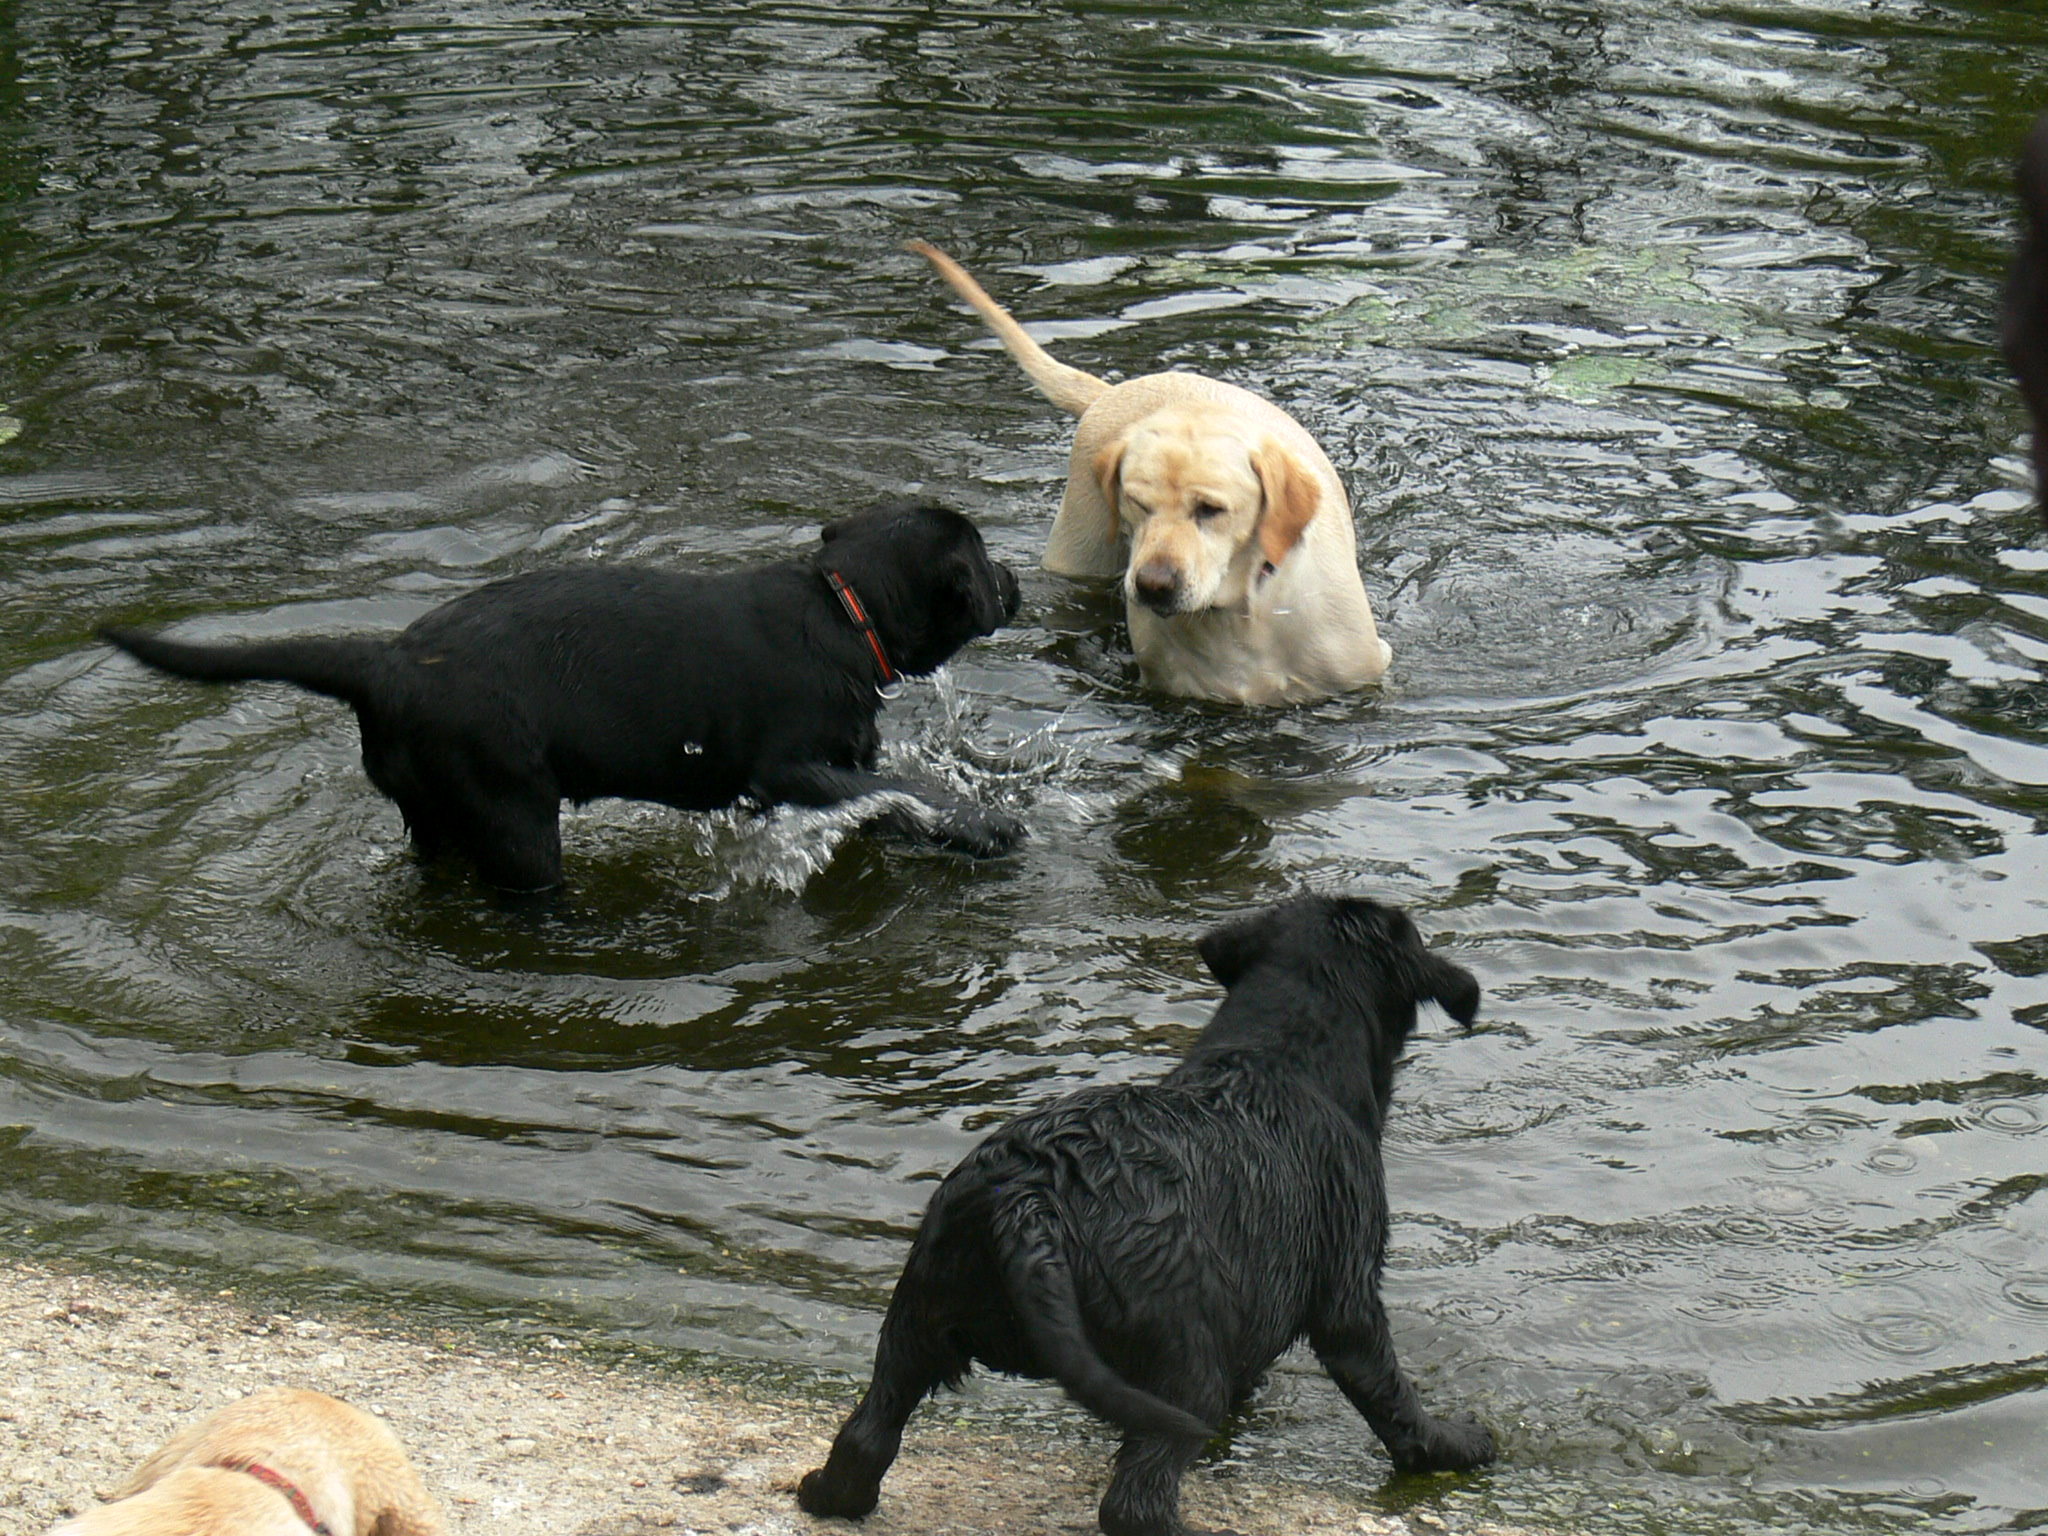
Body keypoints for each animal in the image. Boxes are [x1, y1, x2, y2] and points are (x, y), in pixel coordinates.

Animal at [99, 501, 1019, 888]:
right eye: (983, 558)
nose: (1012, 582)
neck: (842, 608)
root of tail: (387, 663)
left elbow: (892, 794)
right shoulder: (790, 768)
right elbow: (905, 785)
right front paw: (985, 822)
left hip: (434, 815)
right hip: (512, 813)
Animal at [806, 897, 1499, 1531]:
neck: (1280, 1056)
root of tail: (1029, 1201)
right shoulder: (1348, 1291)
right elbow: (1388, 1390)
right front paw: (1455, 1444)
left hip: (918, 1314)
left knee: (868, 1433)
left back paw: (826, 1493)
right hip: (1184, 1361)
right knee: (1136, 1499)